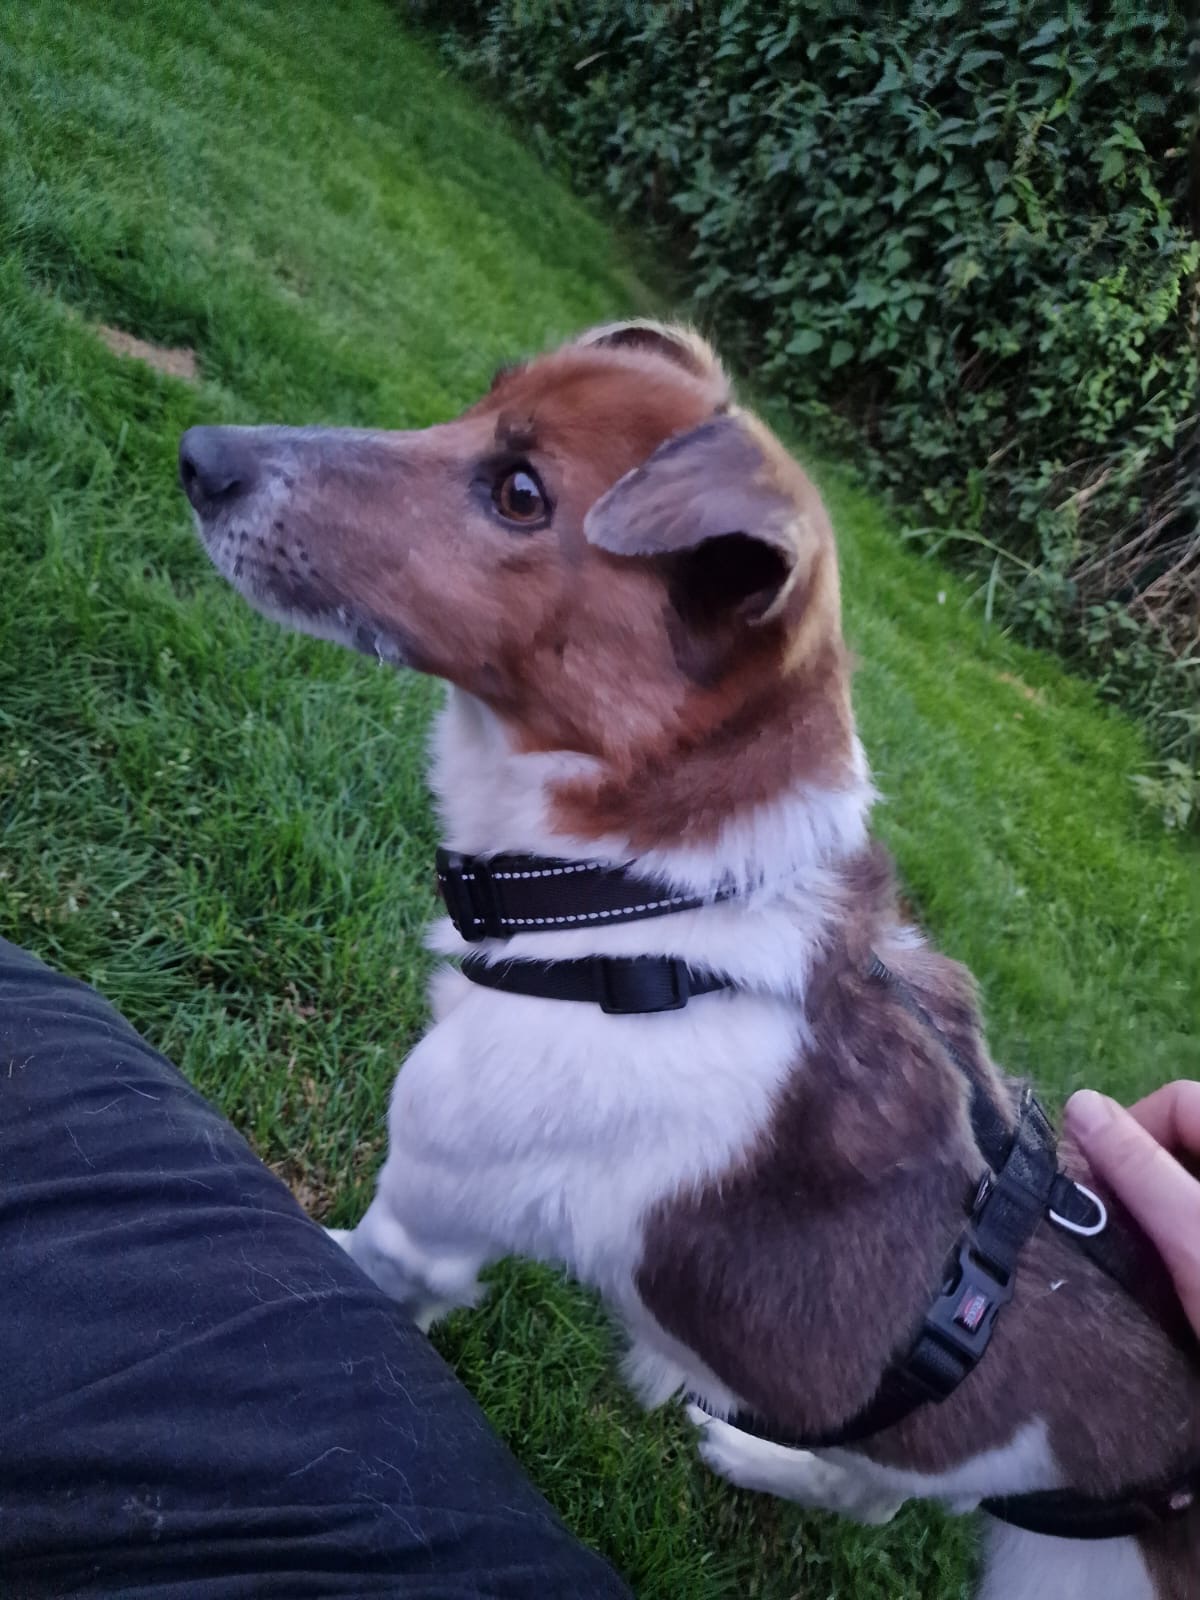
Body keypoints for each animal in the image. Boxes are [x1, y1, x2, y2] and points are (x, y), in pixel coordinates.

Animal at [181, 320, 1199, 1599]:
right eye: (473, 408)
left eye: (522, 493)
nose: (199, 455)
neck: (647, 917)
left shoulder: (424, 1225)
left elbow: (344, 1265)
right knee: (871, 1487)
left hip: (1072, 1569)